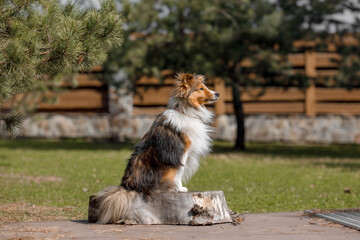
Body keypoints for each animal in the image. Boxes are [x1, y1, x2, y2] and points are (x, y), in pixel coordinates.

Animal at [93, 72, 219, 223]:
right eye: (201, 88)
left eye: (205, 87)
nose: (217, 93)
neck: (186, 111)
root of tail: (128, 186)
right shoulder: (181, 152)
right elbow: (179, 172)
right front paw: (180, 188)